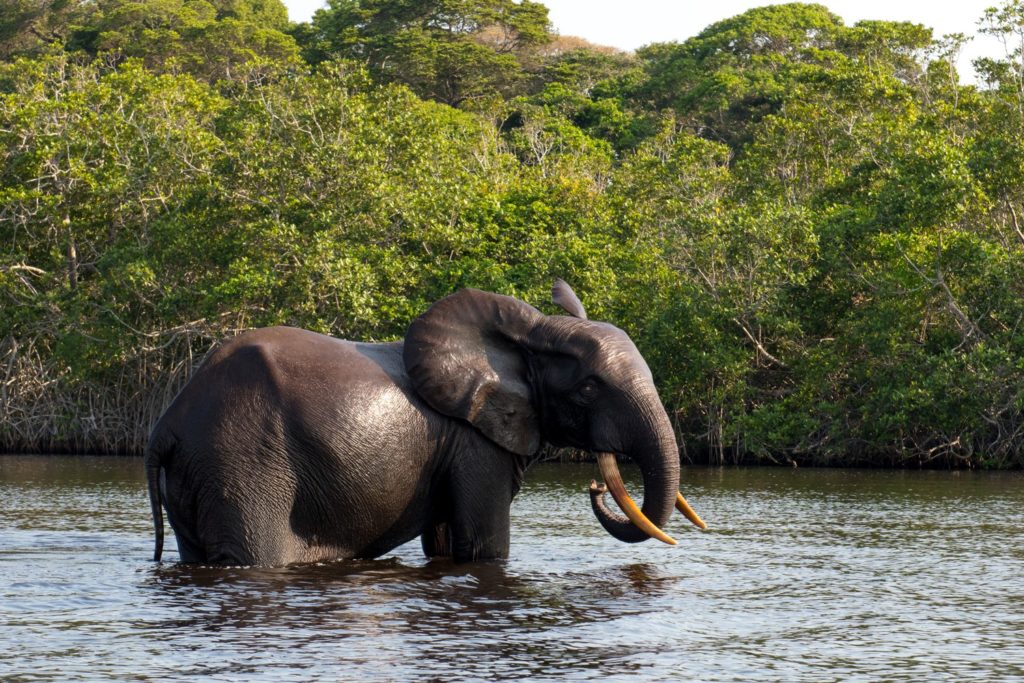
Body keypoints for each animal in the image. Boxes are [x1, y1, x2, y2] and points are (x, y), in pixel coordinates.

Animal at [144, 278, 704, 565]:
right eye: (589, 388)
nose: (595, 485)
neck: (528, 340)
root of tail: (165, 425)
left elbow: (443, 541)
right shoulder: (476, 444)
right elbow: (483, 546)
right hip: (244, 467)